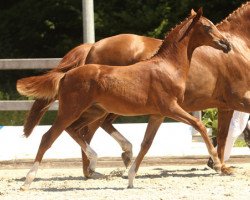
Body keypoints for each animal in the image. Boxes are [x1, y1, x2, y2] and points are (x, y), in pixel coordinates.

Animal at [17, 9, 230, 190]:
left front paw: (130, 177)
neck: (168, 67)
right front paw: (218, 164)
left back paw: (94, 160)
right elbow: (199, 125)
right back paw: (28, 181)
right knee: (49, 137)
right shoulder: (170, 108)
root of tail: (66, 75)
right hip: (71, 110)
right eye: (208, 26)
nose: (226, 44)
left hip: (94, 111)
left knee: (75, 130)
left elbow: (146, 144)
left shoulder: (158, 114)